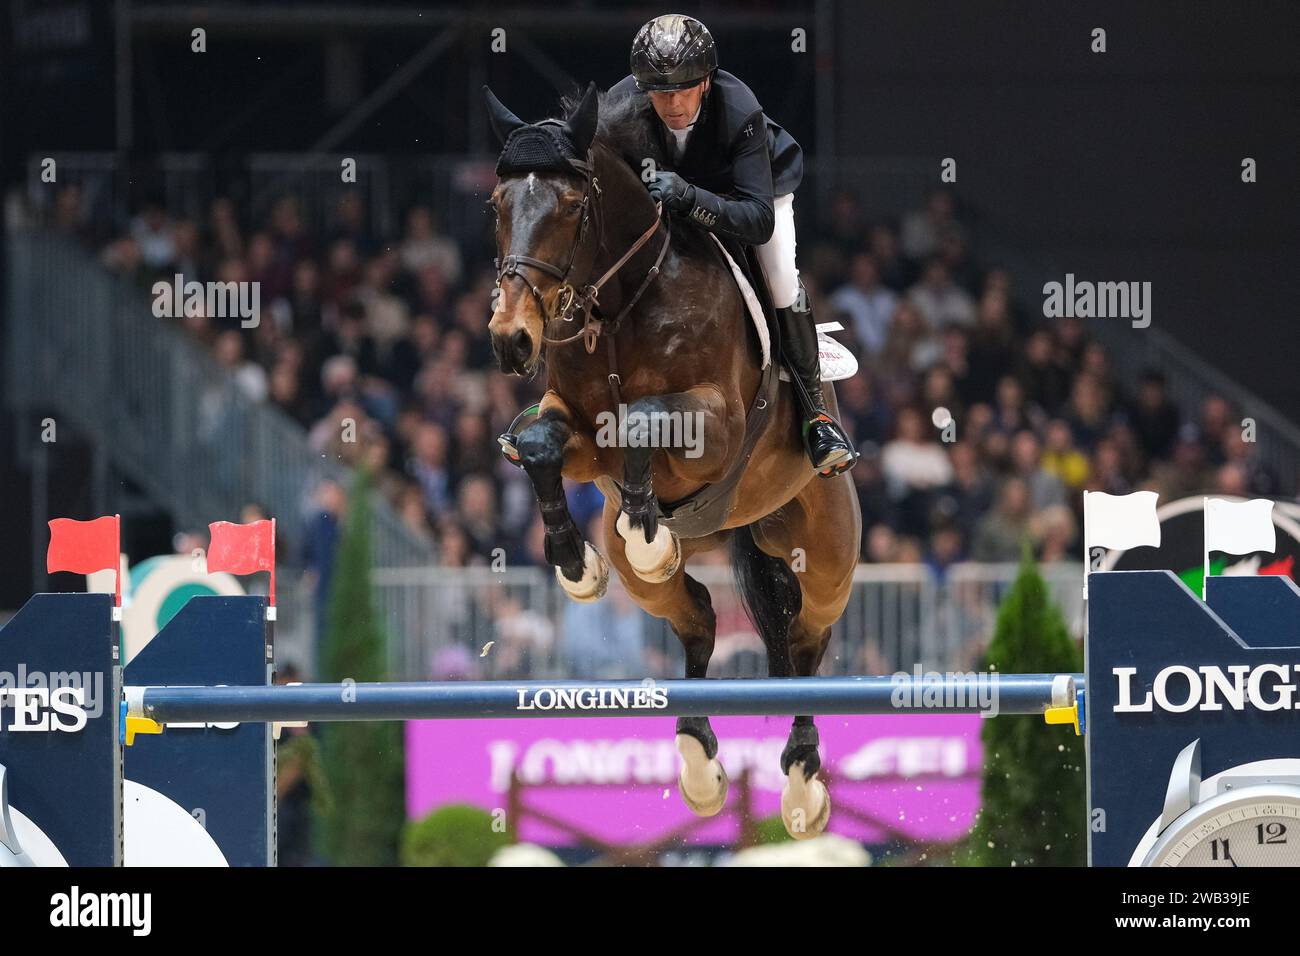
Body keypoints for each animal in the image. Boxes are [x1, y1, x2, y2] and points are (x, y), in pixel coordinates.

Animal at [483, 85, 857, 842]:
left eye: (572, 206)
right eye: (497, 205)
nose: (512, 340)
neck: (621, 300)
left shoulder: (717, 423)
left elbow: (642, 419)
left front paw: (646, 529)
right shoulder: (578, 431)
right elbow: (542, 446)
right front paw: (579, 564)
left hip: (828, 554)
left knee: (805, 637)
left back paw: (803, 785)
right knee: (702, 618)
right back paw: (700, 766)